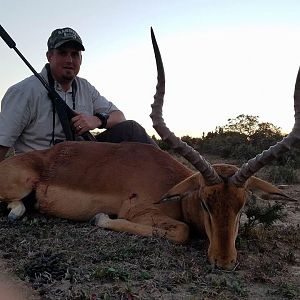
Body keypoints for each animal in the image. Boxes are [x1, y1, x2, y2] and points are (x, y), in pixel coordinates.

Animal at [0, 29, 298, 270]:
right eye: (205, 201)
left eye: (242, 204)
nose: (224, 262)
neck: (175, 191)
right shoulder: (140, 212)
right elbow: (181, 231)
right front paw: (99, 218)